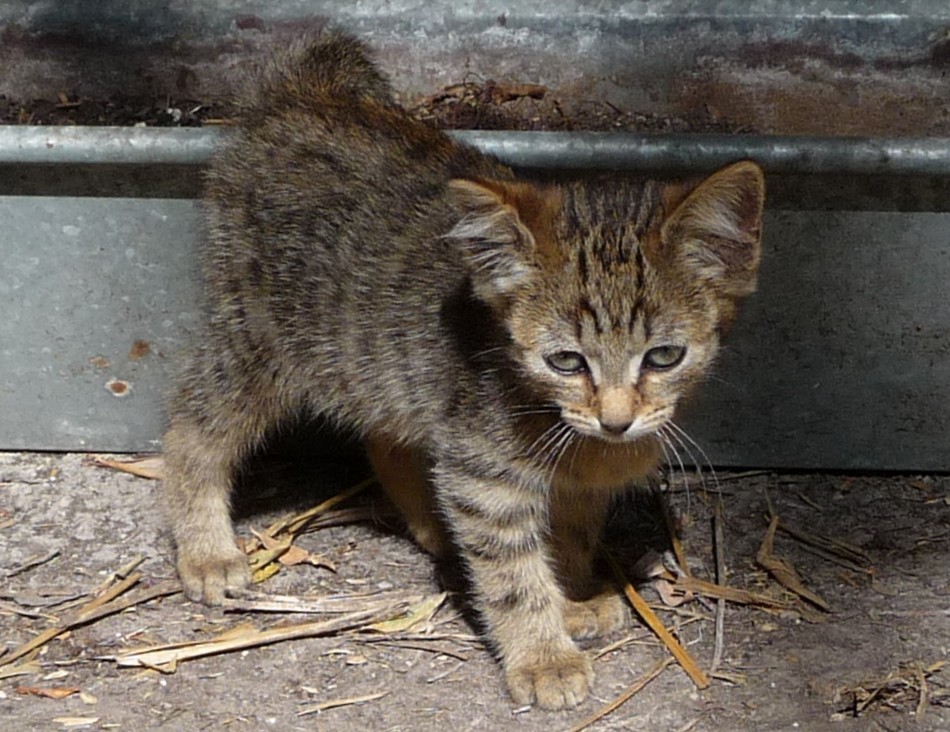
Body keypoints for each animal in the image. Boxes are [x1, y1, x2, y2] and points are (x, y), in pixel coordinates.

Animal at [160, 33, 764, 708]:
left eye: (663, 356)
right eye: (565, 360)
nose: (616, 422)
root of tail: (302, 95)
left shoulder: (573, 481)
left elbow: (570, 536)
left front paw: (572, 599)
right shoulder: (484, 477)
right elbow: (511, 573)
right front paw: (544, 654)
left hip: (377, 360)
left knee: (385, 435)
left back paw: (432, 527)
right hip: (261, 338)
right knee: (192, 427)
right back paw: (207, 551)